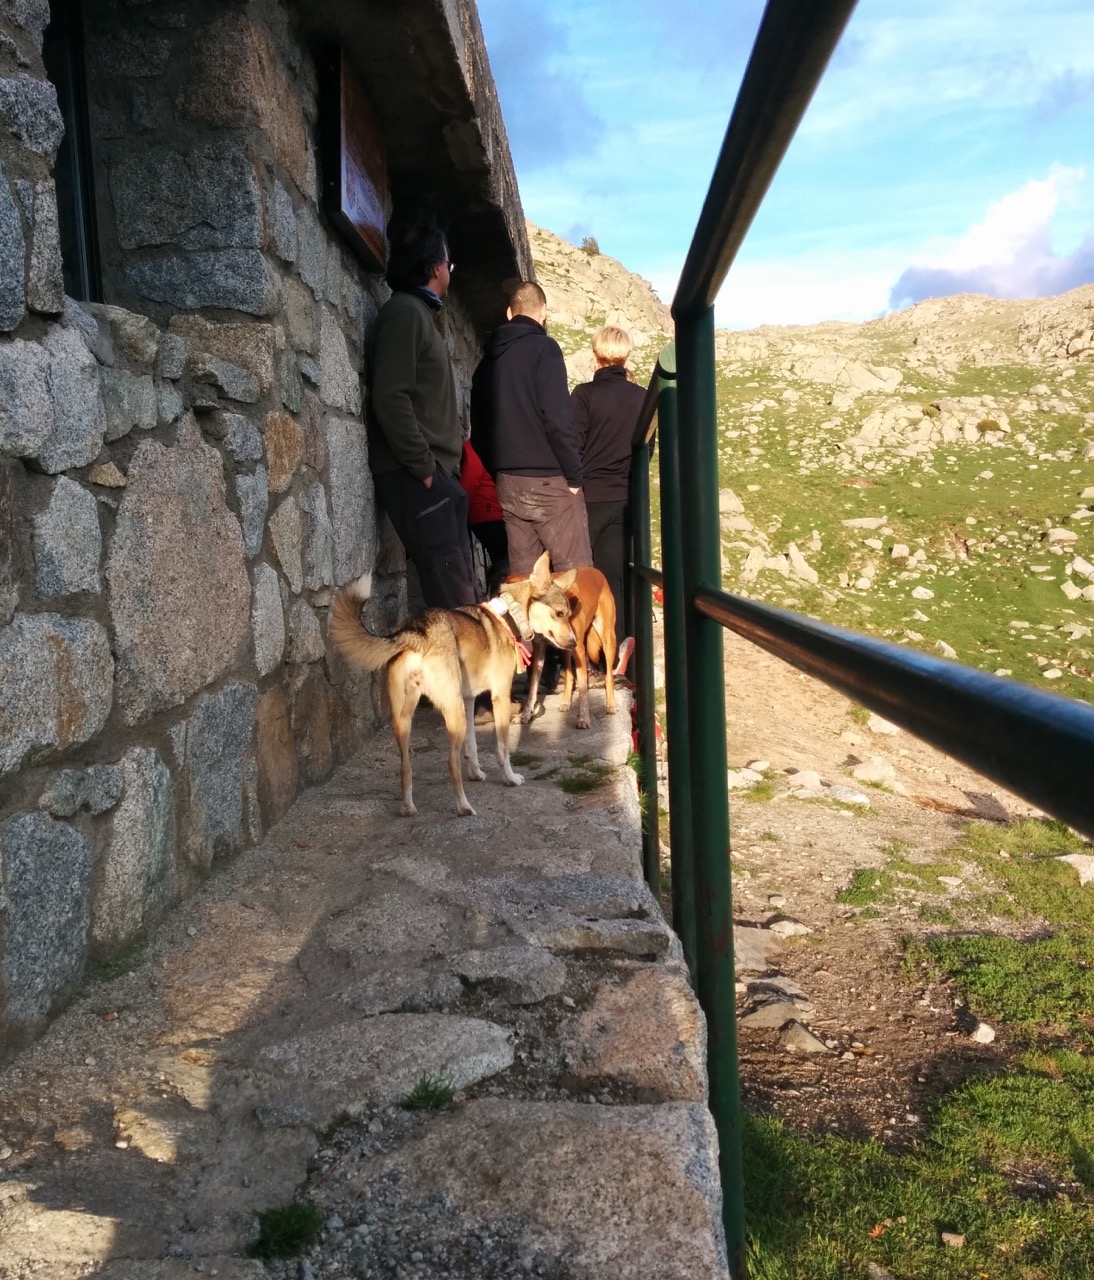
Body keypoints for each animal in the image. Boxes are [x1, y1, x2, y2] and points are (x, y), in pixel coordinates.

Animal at [522, 568, 616, 737]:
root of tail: (596, 571)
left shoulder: (578, 649)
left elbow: (583, 690)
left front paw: (584, 719)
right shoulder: (540, 650)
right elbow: (533, 686)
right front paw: (526, 713)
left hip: (608, 639)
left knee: (609, 676)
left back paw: (611, 704)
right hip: (566, 650)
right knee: (570, 676)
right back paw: (565, 701)